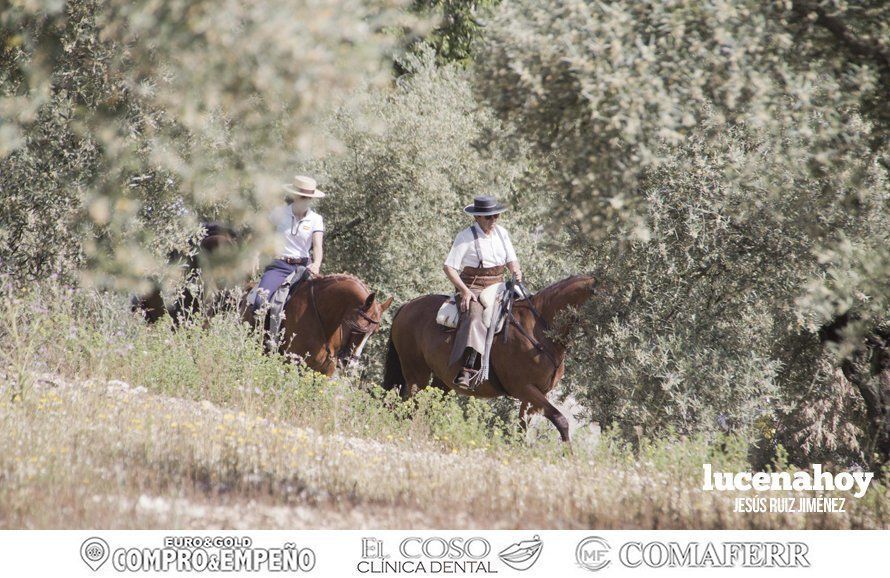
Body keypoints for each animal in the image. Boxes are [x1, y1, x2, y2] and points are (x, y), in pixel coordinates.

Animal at [380, 274, 596, 440]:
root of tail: (407, 305)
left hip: (442, 381)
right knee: (411, 407)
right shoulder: (525, 388)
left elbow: (522, 429)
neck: (539, 330)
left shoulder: (535, 395)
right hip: (416, 374)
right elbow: (560, 420)